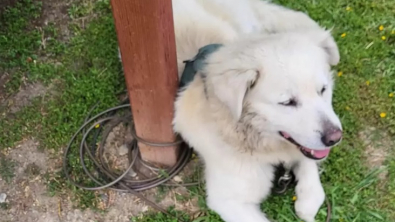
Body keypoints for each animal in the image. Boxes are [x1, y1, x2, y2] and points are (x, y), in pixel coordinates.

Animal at [173, 0, 344, 221]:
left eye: (323, 90)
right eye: (288, 102)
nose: (335, 138)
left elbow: (312, 179)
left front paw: (306, 201)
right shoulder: (229, 201)